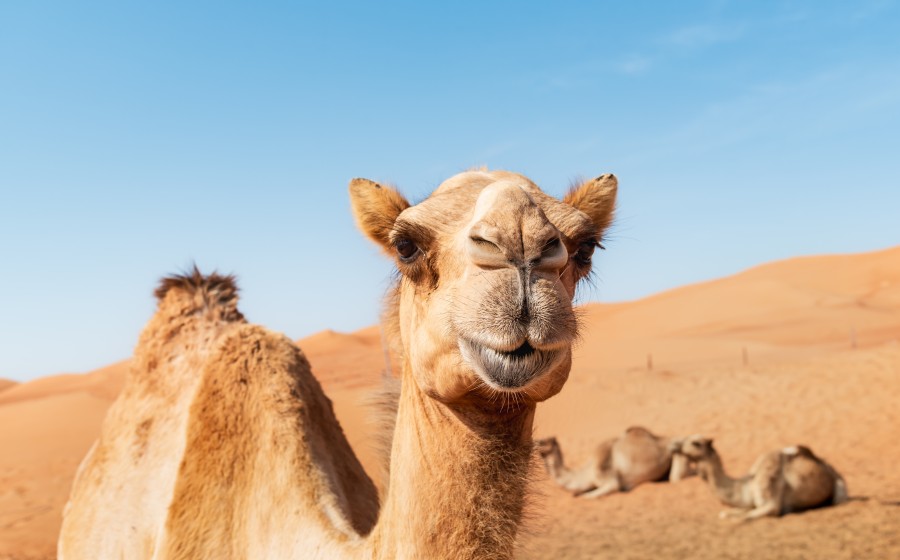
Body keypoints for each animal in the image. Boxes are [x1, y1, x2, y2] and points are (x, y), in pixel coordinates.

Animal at [672, 435, 848, 521]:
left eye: (695, 443)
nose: (674, 446)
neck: (746, 486)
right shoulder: (751, 503)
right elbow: (727, 513)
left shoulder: (770, 502)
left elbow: (744, 518)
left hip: (840, 486)